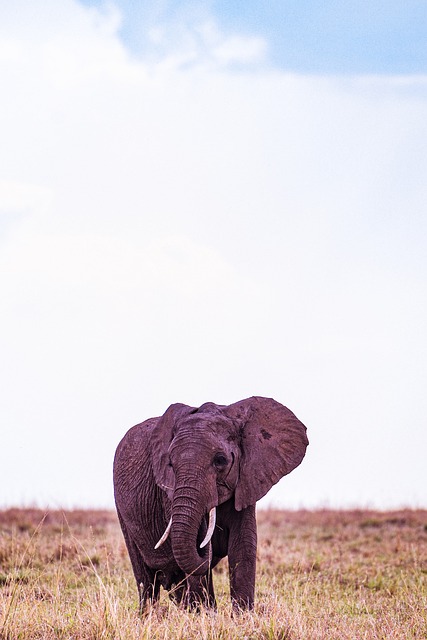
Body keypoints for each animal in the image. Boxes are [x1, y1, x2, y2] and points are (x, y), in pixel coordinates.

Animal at [113, 396, 308, 608]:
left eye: (220, 460)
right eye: (170, 464)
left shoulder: (247, 480)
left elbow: (244, 547)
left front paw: (243, 615)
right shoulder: (168, 491)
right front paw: (206, 614)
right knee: (147, 581)